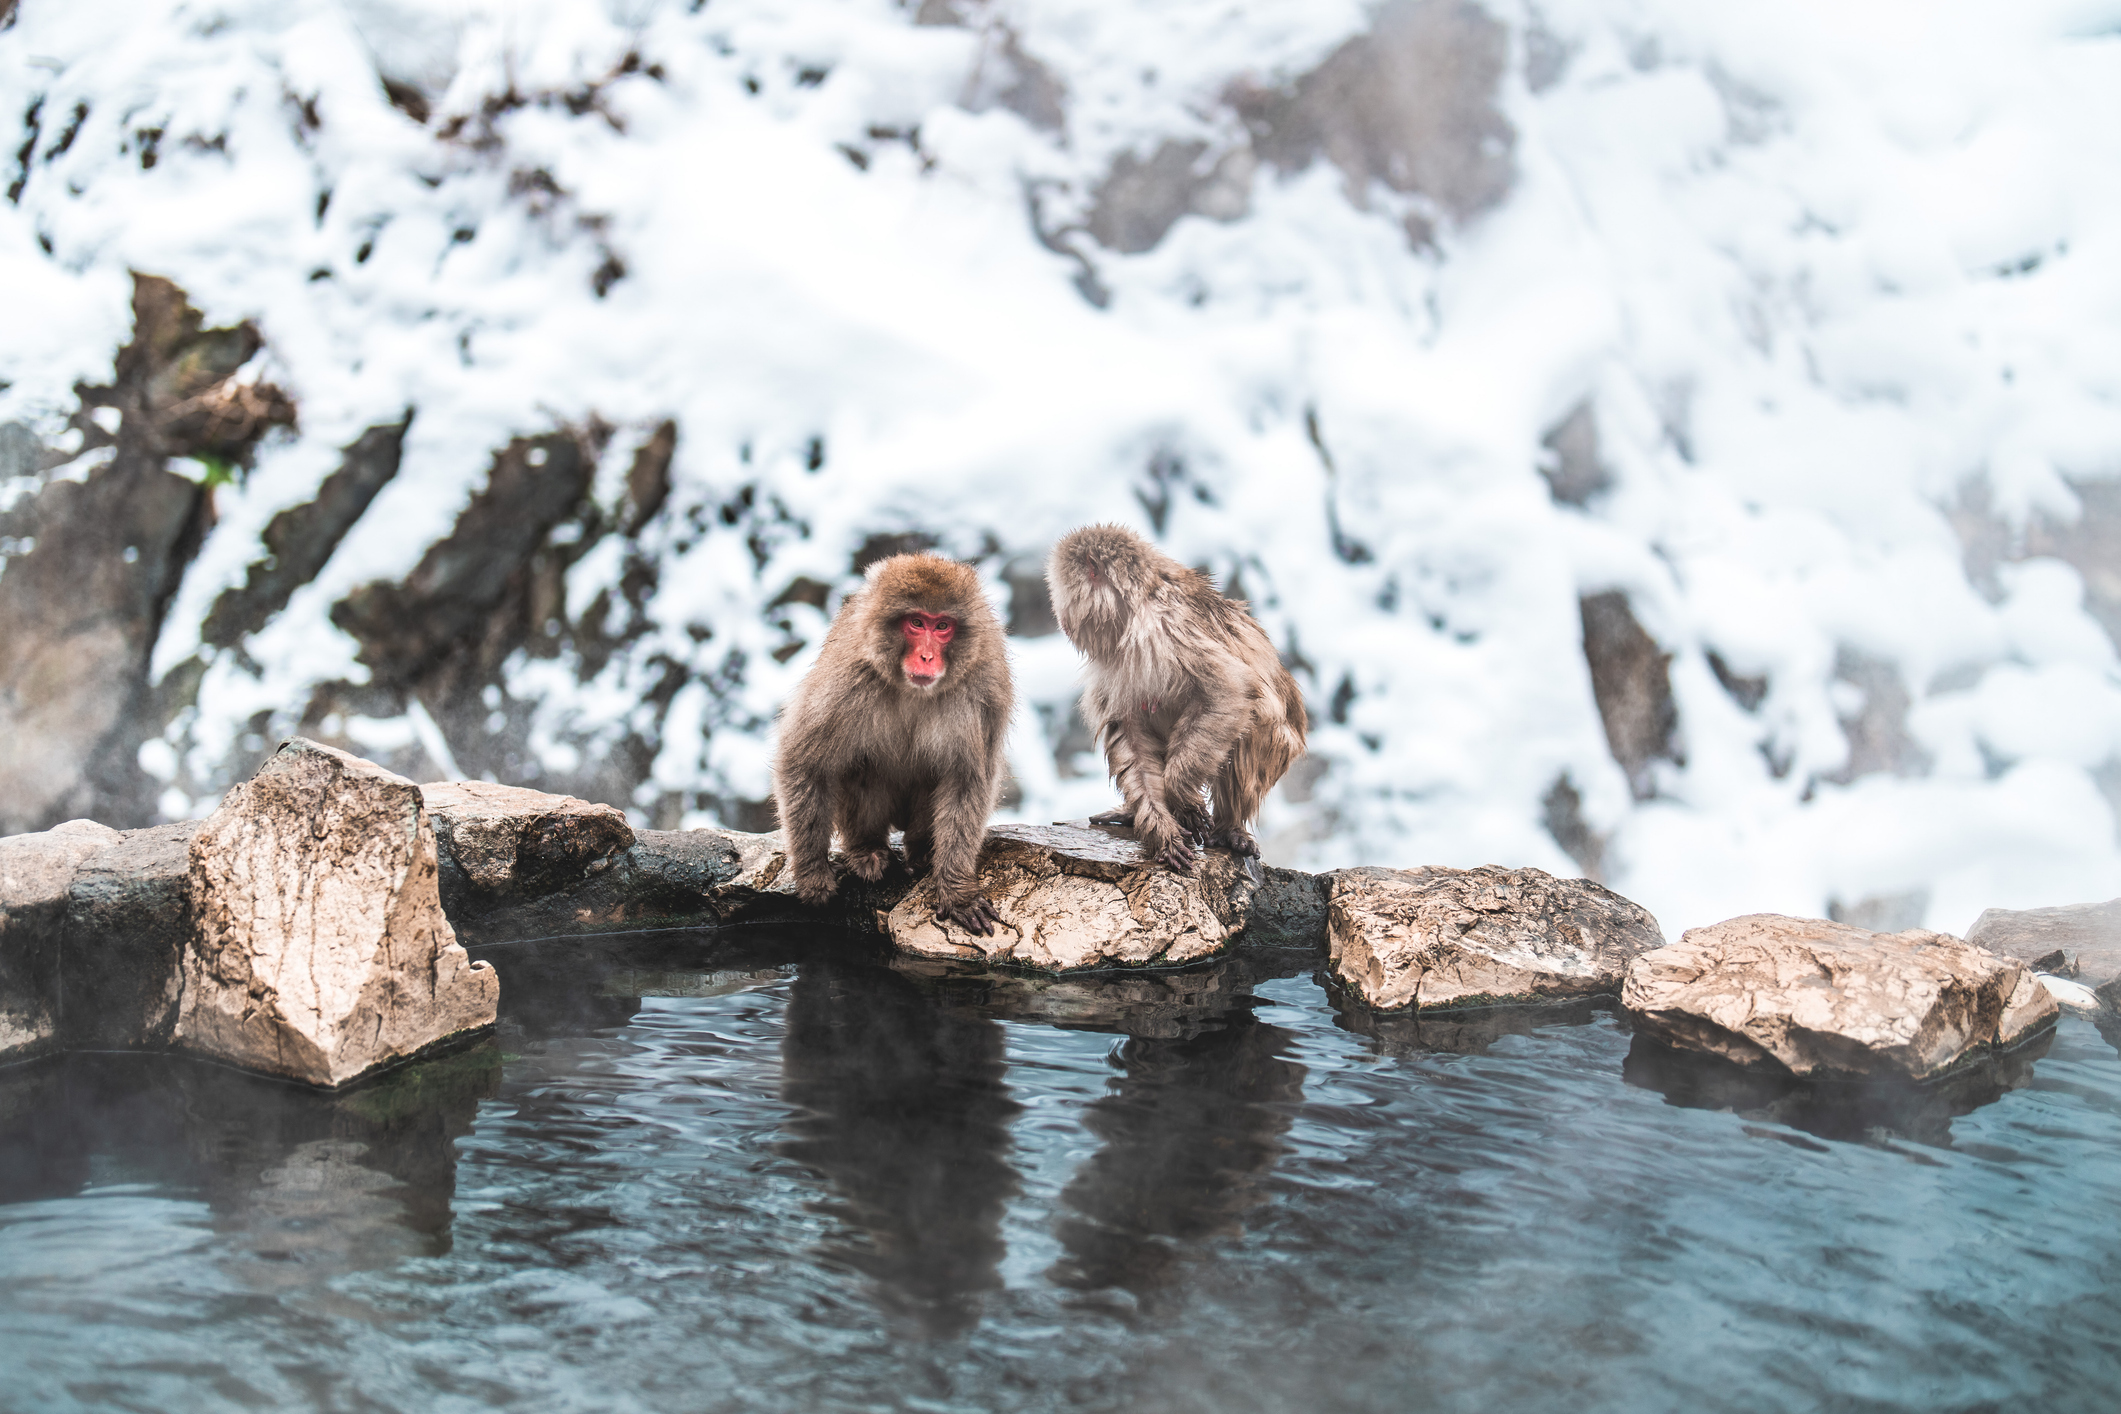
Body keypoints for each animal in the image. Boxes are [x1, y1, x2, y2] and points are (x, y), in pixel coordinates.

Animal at [772, 553, 1014, 935]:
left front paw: (957, 892)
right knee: (859, 770)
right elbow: (804, 761)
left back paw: (922, 851)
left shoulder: (983, 689)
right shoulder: (847, 679)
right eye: (916, 623)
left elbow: (967, 779)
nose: (927, 657)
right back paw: (867, 850)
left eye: (941, 626)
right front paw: (813, 876)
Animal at [1046, 524, 1306, 876]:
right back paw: (1134, 814)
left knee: (1258, 717)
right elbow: (1132, 738)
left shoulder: (1165, 628)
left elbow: (1228, 693)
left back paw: (1229, 828)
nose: (1063, 621)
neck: (1135, 606)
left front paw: (1179, 794)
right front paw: (1163, 831)